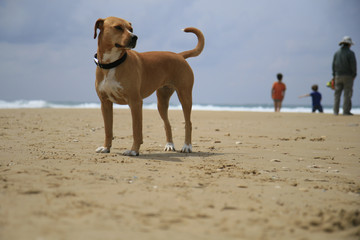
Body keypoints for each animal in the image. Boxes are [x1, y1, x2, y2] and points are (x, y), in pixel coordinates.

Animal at [93, 16, 205, 156]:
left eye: (131, 29)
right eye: (118, 27)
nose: (135, 37)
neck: (112, 64)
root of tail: (179, 55)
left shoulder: (135, 102)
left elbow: (136, 130)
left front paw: (133, 150)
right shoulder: (105, 103)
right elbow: (108, 129)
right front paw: (105, 147)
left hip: (185, 96)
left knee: (188, 123)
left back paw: (187, 146)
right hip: (162, 101)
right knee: (167, 124)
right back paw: (169, 145)